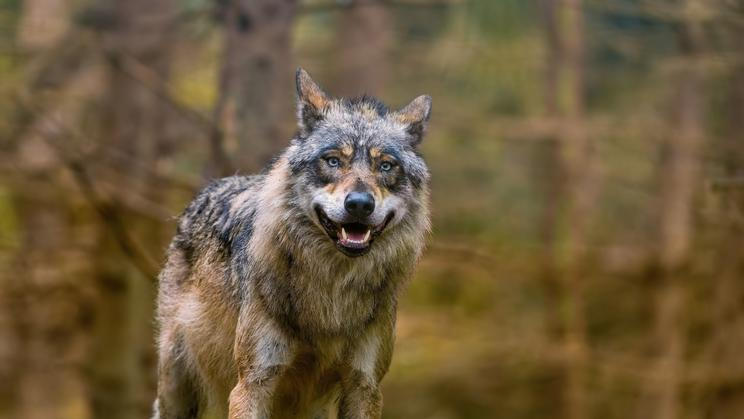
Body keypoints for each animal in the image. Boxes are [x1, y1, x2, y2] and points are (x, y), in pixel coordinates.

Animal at [153, 68, 432, 419]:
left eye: (386, 166)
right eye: (332, 161)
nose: (359, 204)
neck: (332, 293)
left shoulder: (364, 385)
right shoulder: (253, 382)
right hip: (175, 389)